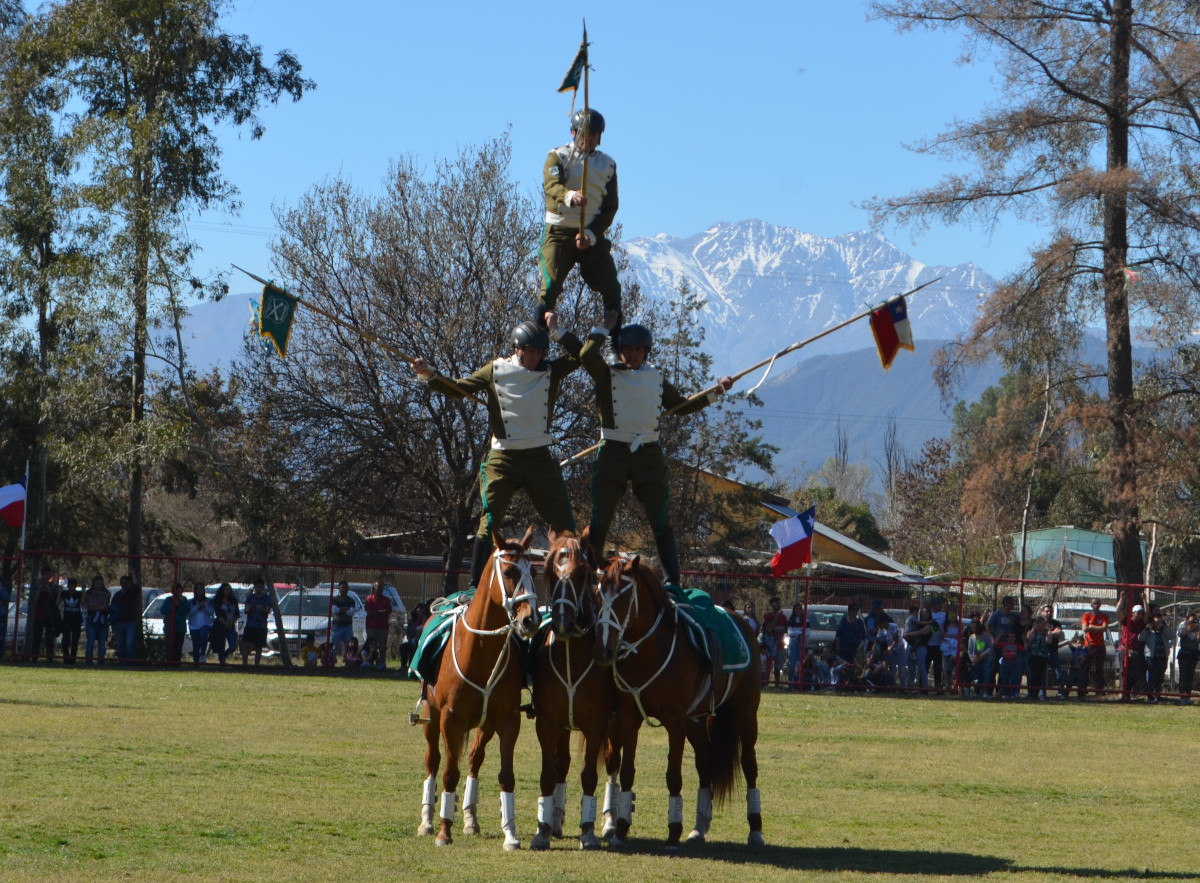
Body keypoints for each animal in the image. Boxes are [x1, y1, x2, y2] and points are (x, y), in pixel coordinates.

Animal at [417, 527, 540, 854]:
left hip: (485, 725)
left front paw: (510, 835)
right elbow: (449, 773)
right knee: (433, 761)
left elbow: (506, 776)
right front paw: (443, 832)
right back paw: (428, 820)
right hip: (431, 717)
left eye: (534, 571)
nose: (530, 619)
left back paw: (470, 818)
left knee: (474, 759)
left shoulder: (509, 721)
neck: (482, 651)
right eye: (508, 571)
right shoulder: (449, 720)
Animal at [530, 527, 614, 854]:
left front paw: (588, 831)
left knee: (613, 766)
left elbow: (590, 774)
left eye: (581, 574)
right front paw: (542, 830)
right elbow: (548, 773)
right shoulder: (548, 722)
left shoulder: (597, 725)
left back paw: (609, 822)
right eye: (549, 572)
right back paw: (554, 820)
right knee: (561, 764)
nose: (562, 620)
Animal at [592, 554, 768, 854]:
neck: (649, 650)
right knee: (705, 763)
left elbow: (673, 775)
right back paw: (699, 827)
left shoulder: (674, 721)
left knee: (749, 764)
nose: (604, 649)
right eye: (598, 593)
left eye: (624, 597)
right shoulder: (628, 717)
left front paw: (673, 832)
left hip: (745, 711)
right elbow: (627, 772)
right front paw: (621, 828)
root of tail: (740, 619)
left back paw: (755, 829)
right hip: (695, 720)